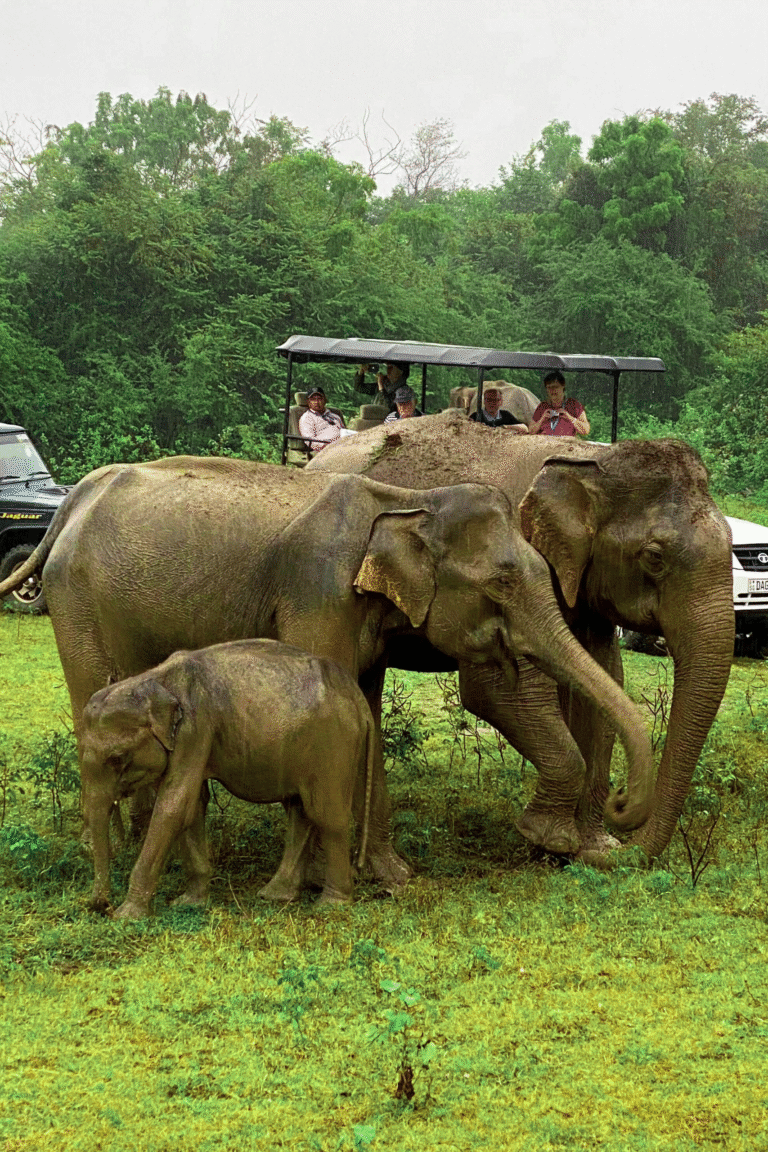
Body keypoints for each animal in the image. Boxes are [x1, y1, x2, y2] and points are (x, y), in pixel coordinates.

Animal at [0, 456, 655, 878]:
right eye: (502, 582)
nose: (623, 807)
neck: (404, 502)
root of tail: (71, 503)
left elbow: (363, 710)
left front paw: (391, 876)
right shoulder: (319, 593)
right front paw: (328, 875)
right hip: (76, 599)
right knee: (93, 693)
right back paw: (109, 850)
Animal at [81, 640, 377, 919]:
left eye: (117, 758)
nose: (101, 906)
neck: (153, 679)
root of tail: (356, 695)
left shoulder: (195, 728)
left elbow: (175, 807)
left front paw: (127, 915)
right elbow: (192, 806)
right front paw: (189, 902)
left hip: (333, 743)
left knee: (326, 816)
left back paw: (330, 905)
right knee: (300, 810)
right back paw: (275, 895)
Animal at [307, 411, 735, 863]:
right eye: (654, 557)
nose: (621, 806)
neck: (590, 460)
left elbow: (603, 682)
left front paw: (591, 848)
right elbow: (499, 692)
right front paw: (551, 840)